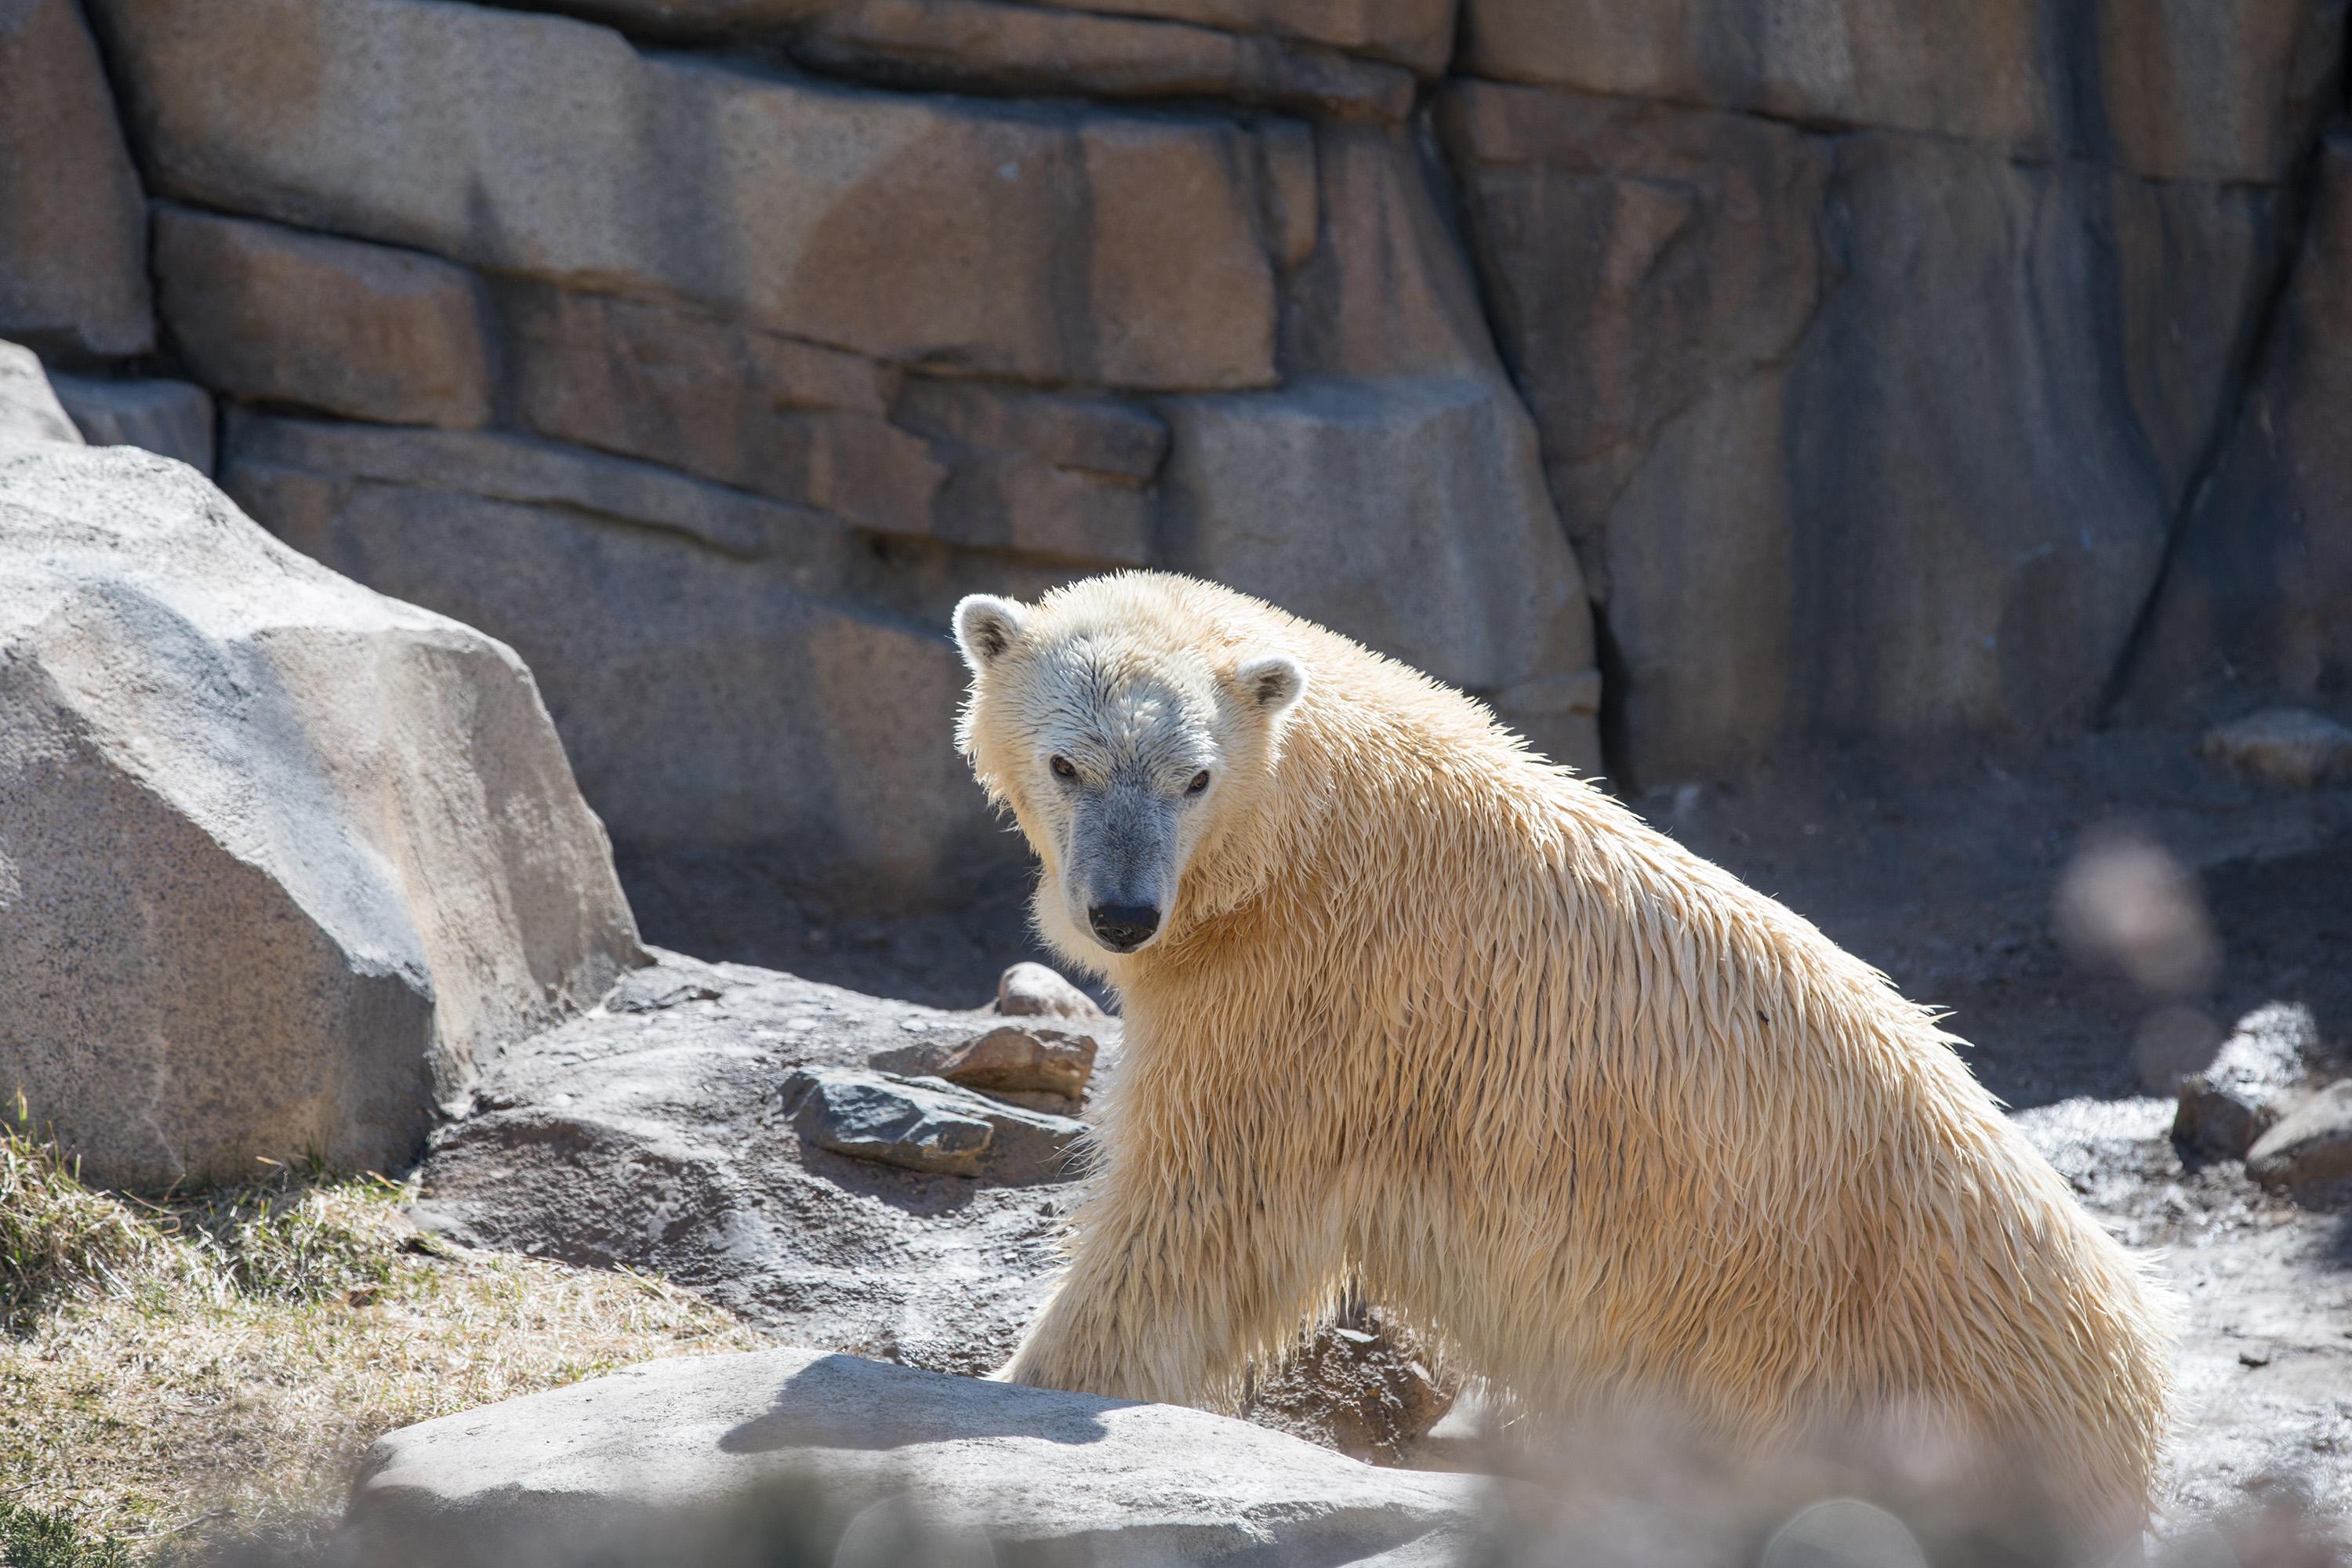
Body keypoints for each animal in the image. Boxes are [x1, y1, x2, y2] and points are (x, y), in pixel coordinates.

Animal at [950, 571, 2164, 1542]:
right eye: (1067, 763)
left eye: (1193, 777)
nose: (1121, 914)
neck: (1308, 832)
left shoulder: (1311, 994)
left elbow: (1200, 1206)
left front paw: (1022, 1382)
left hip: (1846, 1353)